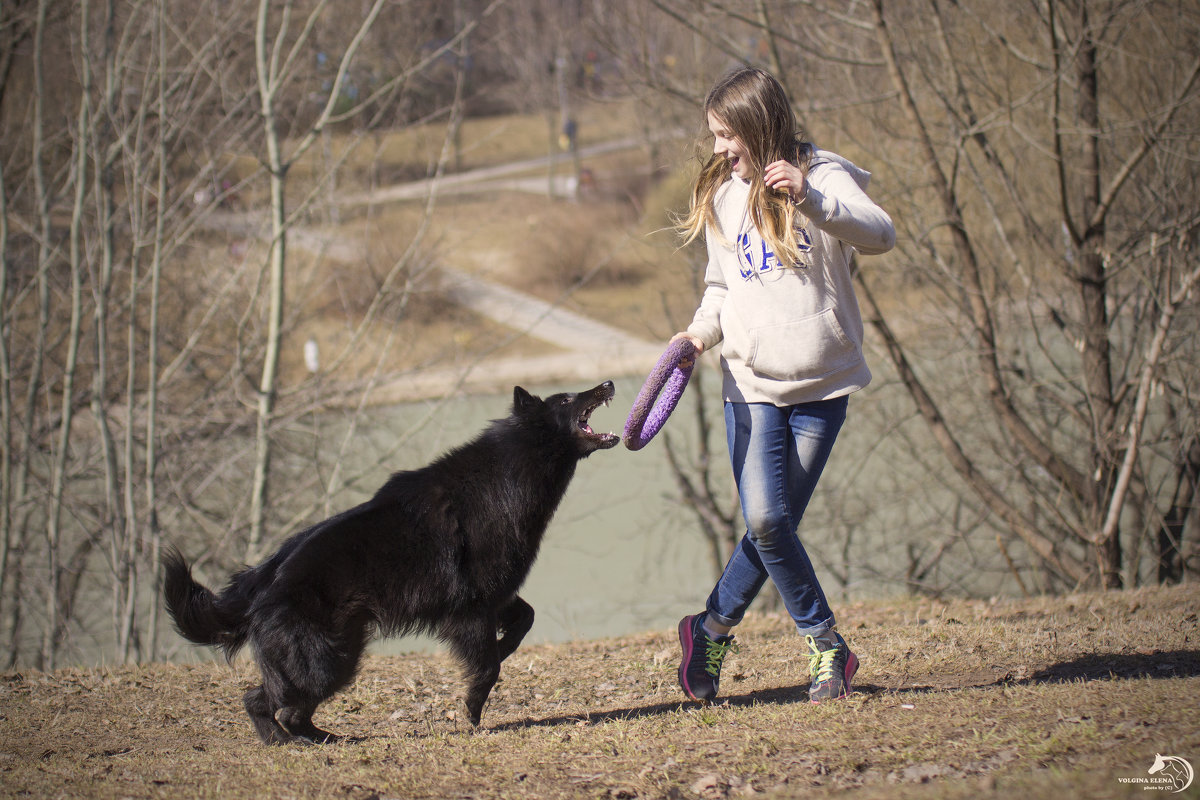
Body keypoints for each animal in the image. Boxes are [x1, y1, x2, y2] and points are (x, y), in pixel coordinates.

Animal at [163, 381, 619, 743]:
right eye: (566, 399)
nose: (608, 383)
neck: (509, 472)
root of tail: (262, 579)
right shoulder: (470, 611)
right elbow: (488, 667)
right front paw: (471, 709)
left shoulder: (497, 596)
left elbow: (524, 621)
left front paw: (505, 647)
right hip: (325, 662)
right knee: (270, 704)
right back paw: (297, 740)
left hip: (335, 655)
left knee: (275, 706)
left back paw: (310, 740)